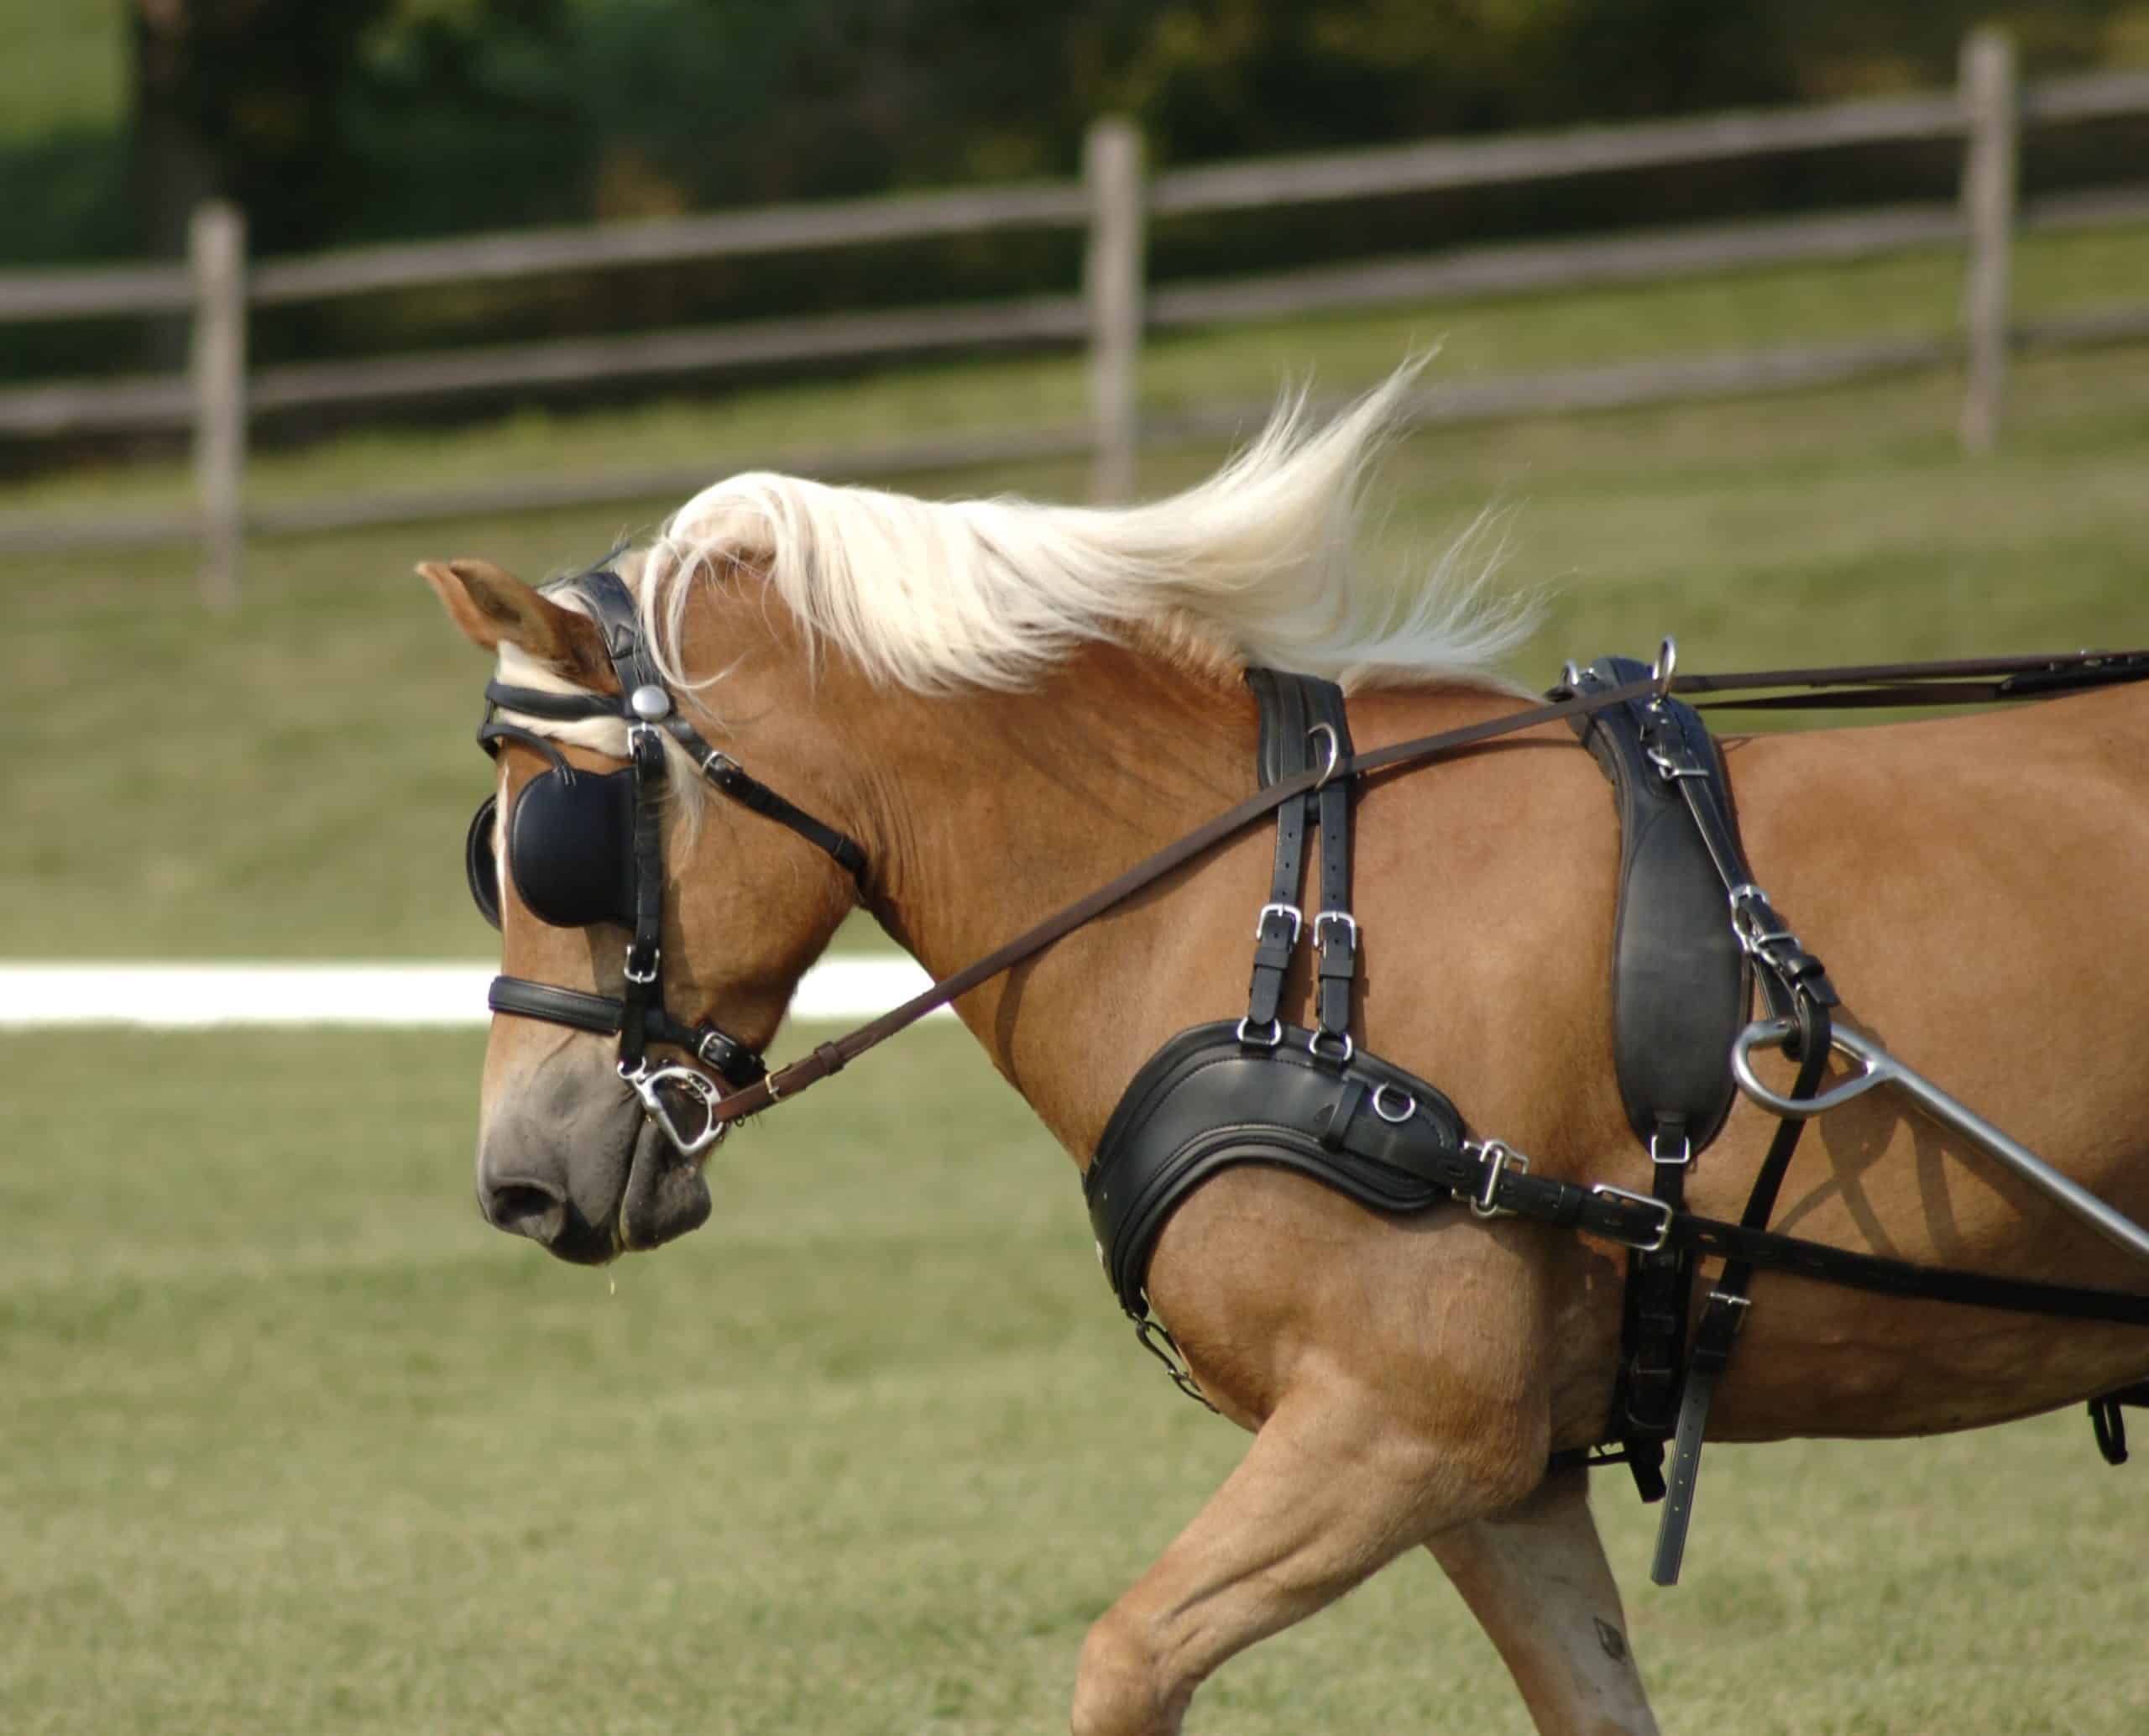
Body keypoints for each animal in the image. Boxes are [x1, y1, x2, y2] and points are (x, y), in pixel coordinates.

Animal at [423, 374, 2149, 1736]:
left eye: (550, 838)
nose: (518, 1177)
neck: (1276, 929)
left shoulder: (1403, 1423)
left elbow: (1127, 1662)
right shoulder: (1506, 1473)